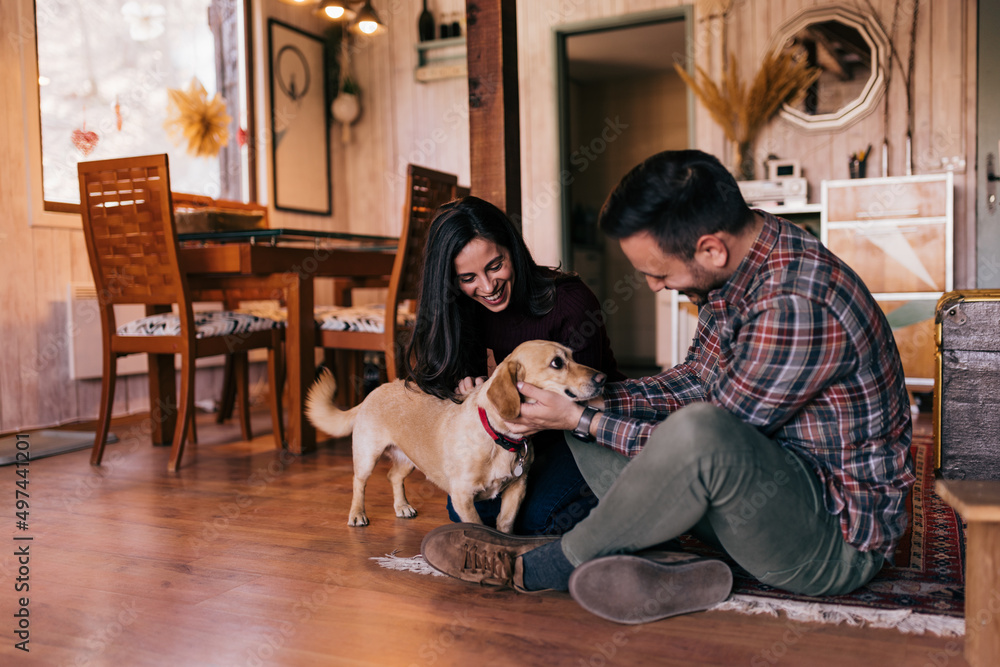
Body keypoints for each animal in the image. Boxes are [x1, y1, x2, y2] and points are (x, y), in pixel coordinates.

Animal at [304, 340, 604, 532]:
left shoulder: (517, 488)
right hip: (367, 456)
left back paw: (402, 506)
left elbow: (504, 525)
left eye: (574, 356)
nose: (602, 378)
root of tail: (374, 391)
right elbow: (478, 526)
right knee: (359, 483)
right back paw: (357, 514)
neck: (498, 438)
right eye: (557, 363)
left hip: (410, 459)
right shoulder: (462, 497)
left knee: (393, 477)